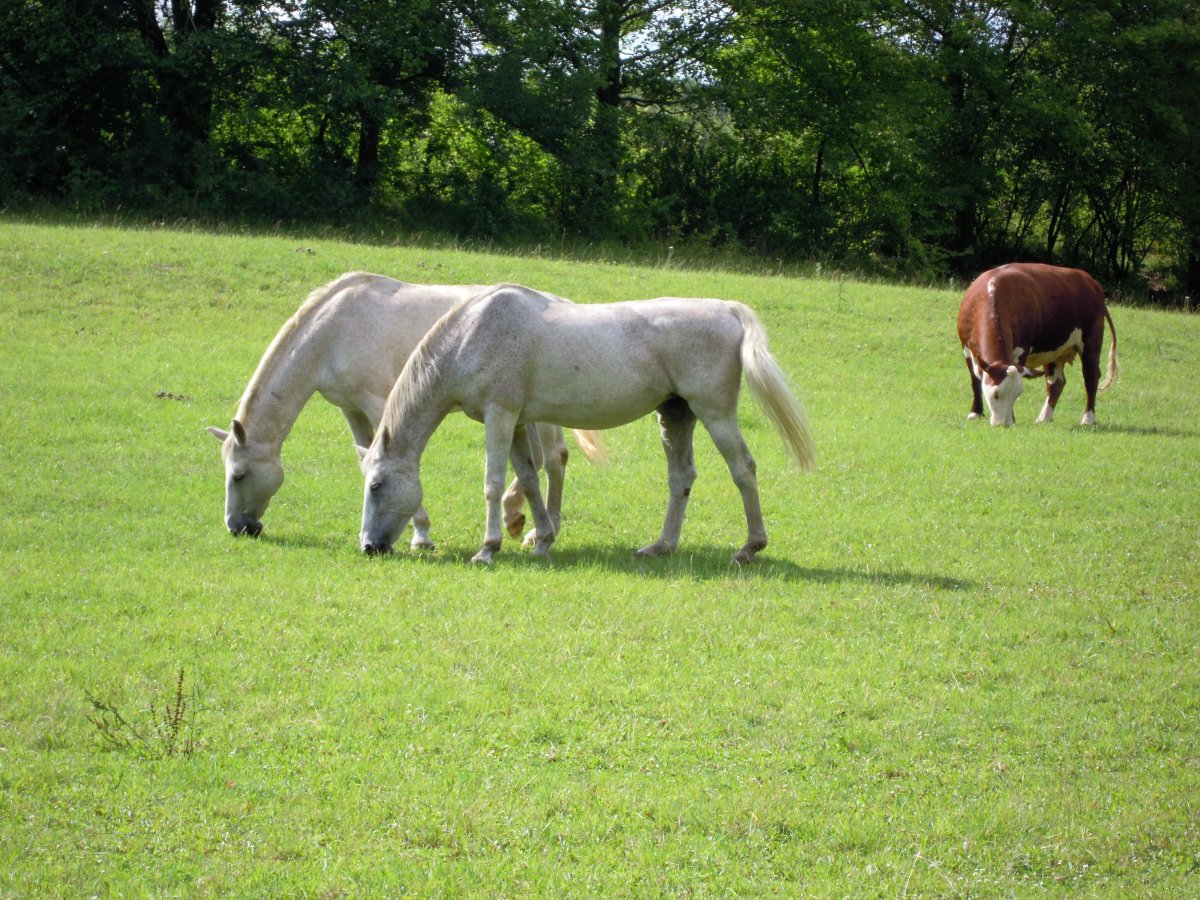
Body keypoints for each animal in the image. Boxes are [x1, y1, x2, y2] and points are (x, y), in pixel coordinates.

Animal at [208, 271, 609, 547]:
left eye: (238, 475)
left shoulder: (378, 404)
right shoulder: (351, 410)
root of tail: (557, 300)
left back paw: (537, 529)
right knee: (541, 459)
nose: (236, 527)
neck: (332, 332)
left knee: (554, 460)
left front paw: (421, 534)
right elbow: (366, 457)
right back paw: (517, 517)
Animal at [355, 283, 816, 564]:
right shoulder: (518, 422)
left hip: (715, 414)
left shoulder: (499, 417)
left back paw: (749, 547)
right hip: (676, 415)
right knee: (681, 477)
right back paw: (661, 546)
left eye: (376, 485)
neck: (475, 333)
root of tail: (726, 309)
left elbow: (493, 482)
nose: (368, 547)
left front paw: (488, 548)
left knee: (743, 469)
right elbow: (529, 480)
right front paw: (542, 539)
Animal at [955, 262, 1113, 427]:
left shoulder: (1021, 352)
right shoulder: (966, 348)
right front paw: (975, 413)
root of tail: (1091, 282)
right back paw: (1045, 417)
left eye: (1017, 395)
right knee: (1056, 381)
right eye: (996, 394)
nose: (1004, 424)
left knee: (1091, 376)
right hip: (1053, 350)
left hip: (1091, 340)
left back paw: (1088, 419)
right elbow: (975, 380)